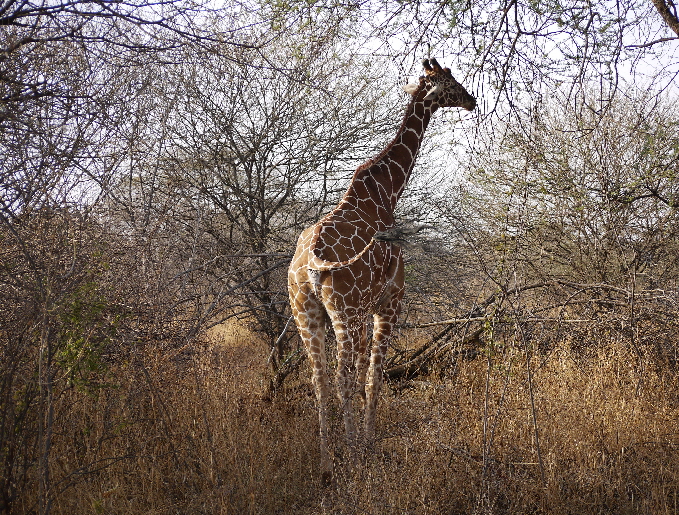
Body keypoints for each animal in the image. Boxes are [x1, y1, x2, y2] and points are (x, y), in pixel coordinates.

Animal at [288, 59, 478, 484]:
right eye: (451, 82)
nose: (472, 100)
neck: (388, 190)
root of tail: (310, 264)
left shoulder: (364, 311)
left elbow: (362, 376)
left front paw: (358, 441)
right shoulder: (388, 302)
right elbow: (373, 377)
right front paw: (367, 444)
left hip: (306, 312)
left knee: (319, 380)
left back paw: (326, 465)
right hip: (343, 313)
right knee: (341, 378)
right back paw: (351, 454)